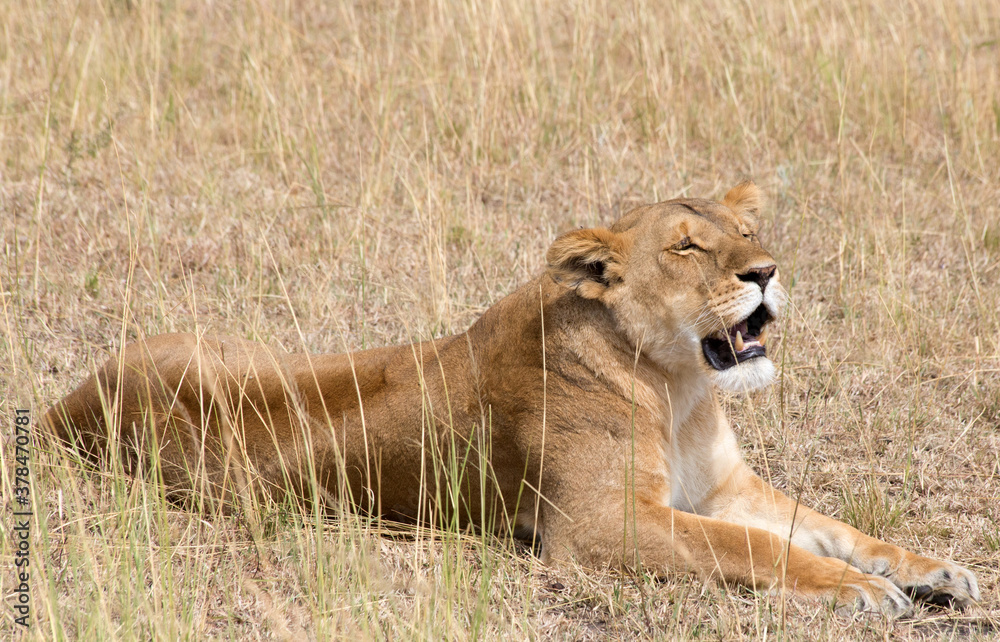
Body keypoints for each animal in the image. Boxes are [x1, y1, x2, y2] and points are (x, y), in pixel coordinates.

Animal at [44, 182, 978, 616]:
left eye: (747, 234)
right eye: (686, 247)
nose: (766, 272)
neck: (678, 384)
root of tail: (73, 400)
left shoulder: (724, 489)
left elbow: (833, 528)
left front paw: (934, 569)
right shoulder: (603, 526)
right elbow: (752, 549)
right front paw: (858, 592)